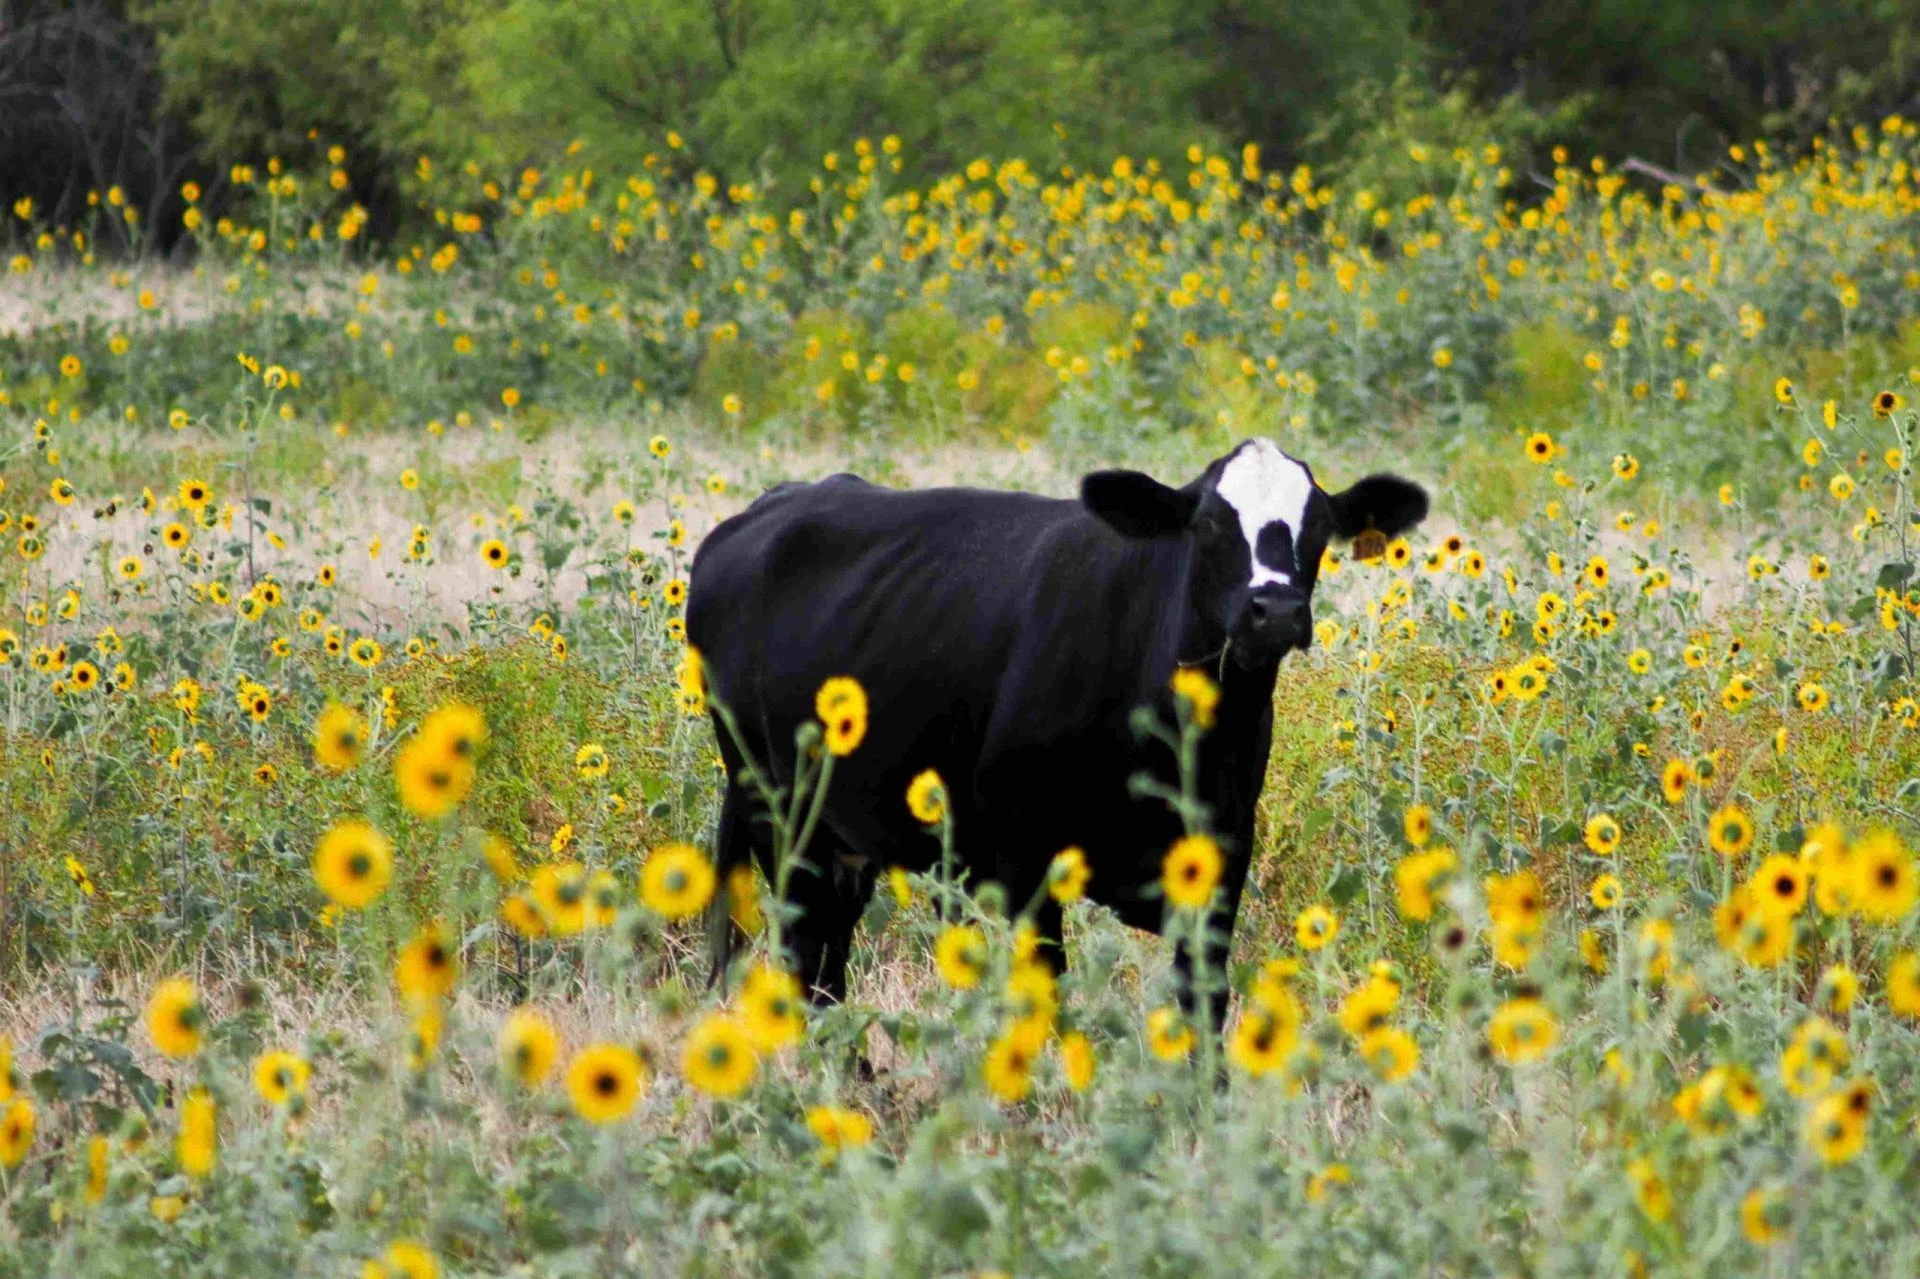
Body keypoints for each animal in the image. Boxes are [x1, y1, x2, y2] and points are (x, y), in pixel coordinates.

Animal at [687, 438, 1427, 1029]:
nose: (1274, 609)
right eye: (1210, 523)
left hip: (843, 835)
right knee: (804, 964)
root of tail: (769, 507)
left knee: (827, 967)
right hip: (780, 816)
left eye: (1319, 525)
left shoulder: (1223, 853)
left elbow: (1204, 1005)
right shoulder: (1024, 858)